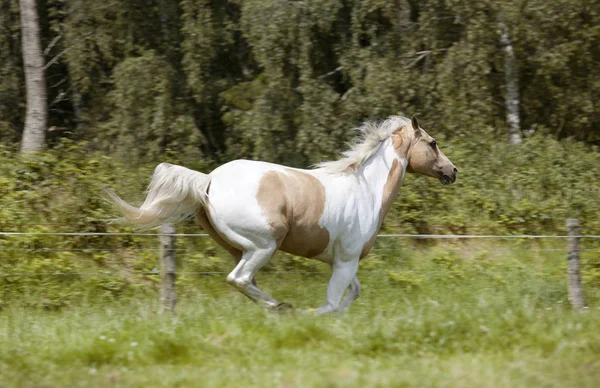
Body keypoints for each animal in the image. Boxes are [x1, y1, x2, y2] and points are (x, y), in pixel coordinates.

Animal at [108, 113, 458, 314]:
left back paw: (275, 308)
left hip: (242, 249)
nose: (452, 171)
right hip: (264, 245)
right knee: (238, 278)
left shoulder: (344, 260)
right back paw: (279, 307)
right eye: (433, 143)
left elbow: (352, 295)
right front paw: (311, 317)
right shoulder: (346, 261)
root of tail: (208, 180)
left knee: (245, 280)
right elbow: (332, 303)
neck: (366, 189)